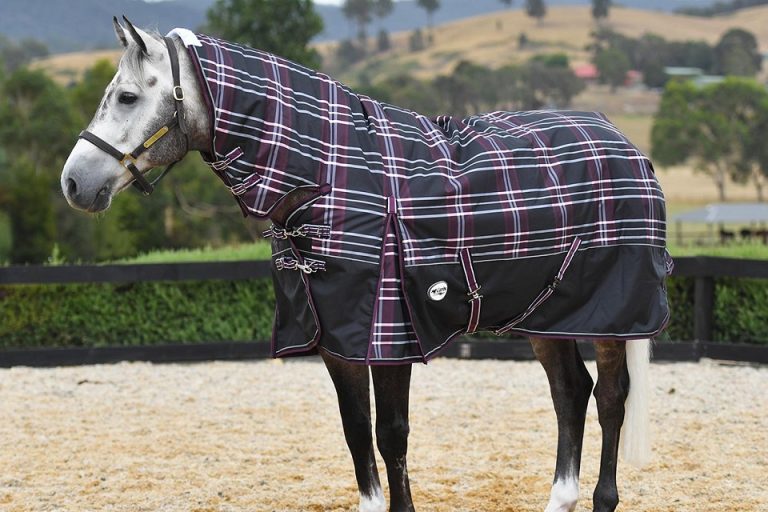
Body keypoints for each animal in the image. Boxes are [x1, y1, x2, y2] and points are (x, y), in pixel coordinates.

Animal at [61, 18, 669, 512]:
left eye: (127, 97)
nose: (73, 183)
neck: (330, 174)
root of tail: (625, 145)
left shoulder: (391, 333)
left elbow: (391, 434)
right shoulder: (337, 338)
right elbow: (357, 433)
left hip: (612, 314)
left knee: (610, 397)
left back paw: (603, 497)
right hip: (547, 313)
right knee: (570, 393)